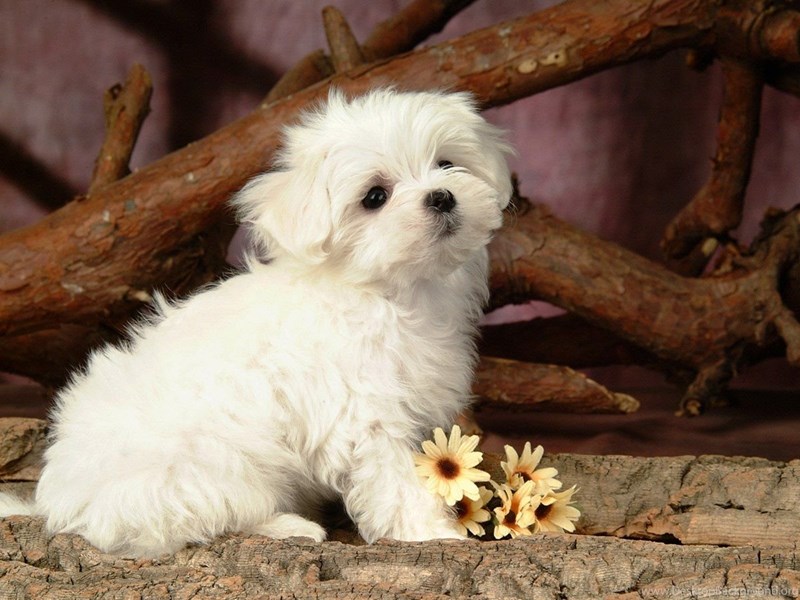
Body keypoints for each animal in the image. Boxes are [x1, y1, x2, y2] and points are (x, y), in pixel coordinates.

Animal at [0, 88, 512, 557]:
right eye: (375, 197)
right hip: (206, 467)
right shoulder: (363, 415)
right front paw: (431, 531)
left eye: (447, 163)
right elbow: (394, 478)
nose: (441, 196)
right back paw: (290, 526)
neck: (390, 292)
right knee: (202, 517)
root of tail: (59, 503)